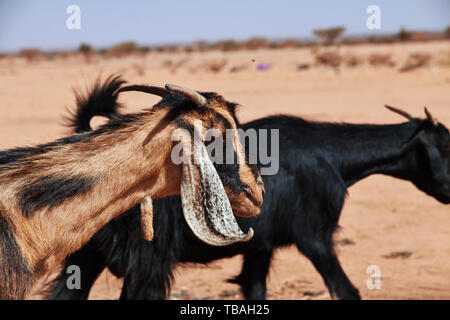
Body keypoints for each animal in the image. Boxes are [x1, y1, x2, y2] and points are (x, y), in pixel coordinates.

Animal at [46, 87, 450, 300]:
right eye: (444, 145)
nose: (448, 191)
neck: (330, 155)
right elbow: (345, 289)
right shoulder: (316, 238)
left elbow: (255, 289)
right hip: (149, 262)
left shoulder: (260, 248)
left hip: (86, 257)